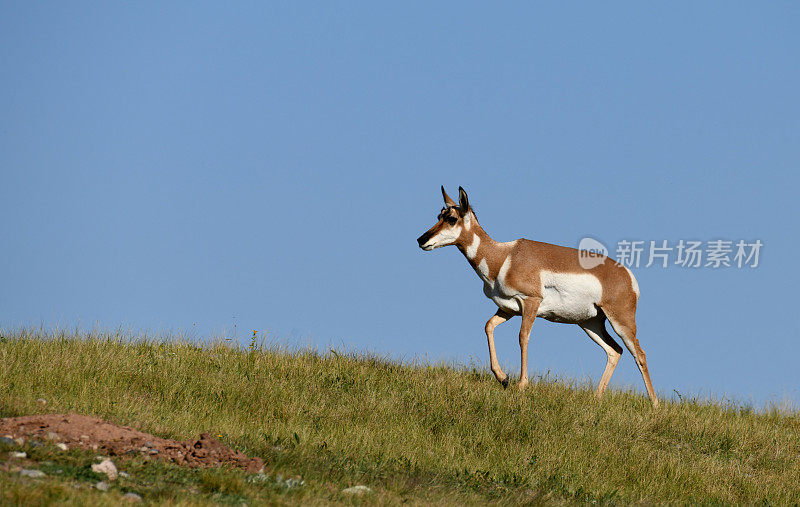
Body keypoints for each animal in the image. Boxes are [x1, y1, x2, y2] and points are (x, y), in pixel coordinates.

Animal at [416, 187, 660, 408]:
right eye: (438, 216)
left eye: (451, 218)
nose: (421, 239)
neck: (504, 257)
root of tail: (626, 274)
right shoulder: (508, 309)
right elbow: (488, 326)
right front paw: (502, 377)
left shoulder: (531, 302)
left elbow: (523, 337)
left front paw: (521, 384)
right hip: (590, 323)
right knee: (614, 351)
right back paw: (597, 398)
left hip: (621, 321)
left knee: (639, 353)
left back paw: (655, 405)